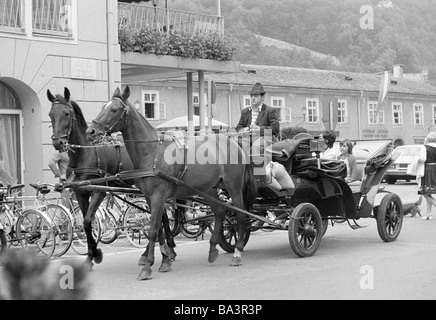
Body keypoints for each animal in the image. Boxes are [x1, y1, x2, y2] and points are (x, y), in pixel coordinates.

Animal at [47, 87, 175, 270]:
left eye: (66, 113)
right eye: (51, 114)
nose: (58, 142)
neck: (86, 153)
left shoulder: (99, 192)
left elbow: (88, 220)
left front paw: (96, 254)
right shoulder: (81, 193)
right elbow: (86, 224)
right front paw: (91, 256)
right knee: (162, 214)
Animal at [86, 87, 255, 280]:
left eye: (114, 109)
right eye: (103, 107)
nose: (90, 131)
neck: (152, 153)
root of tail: (235, 143)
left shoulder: (159, 196)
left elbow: (153, 229)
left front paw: (148, 266)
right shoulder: (149, 197)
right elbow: (158, 227)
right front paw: (164, 259)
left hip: (233, 186)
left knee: (241, 215)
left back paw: (237, 252)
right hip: (208, 189)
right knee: (220, 212)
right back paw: (212, 248)